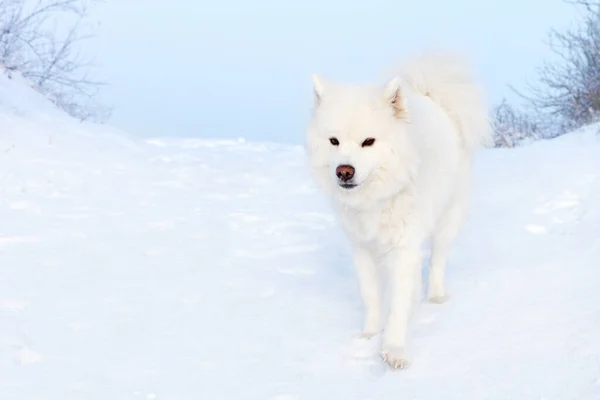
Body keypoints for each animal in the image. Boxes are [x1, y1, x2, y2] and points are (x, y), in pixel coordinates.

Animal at [304, 52, 492, 368]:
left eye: (368, 141)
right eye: (334, 141)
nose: (344, 171)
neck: (378, 199)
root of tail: (432, 97)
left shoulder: (404, 249)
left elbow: (399, 304)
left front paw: (394, 349)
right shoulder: (362, 248)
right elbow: (371, 296)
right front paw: (369, 335)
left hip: (448, 218)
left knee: (438, 259)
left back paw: (436, 297)